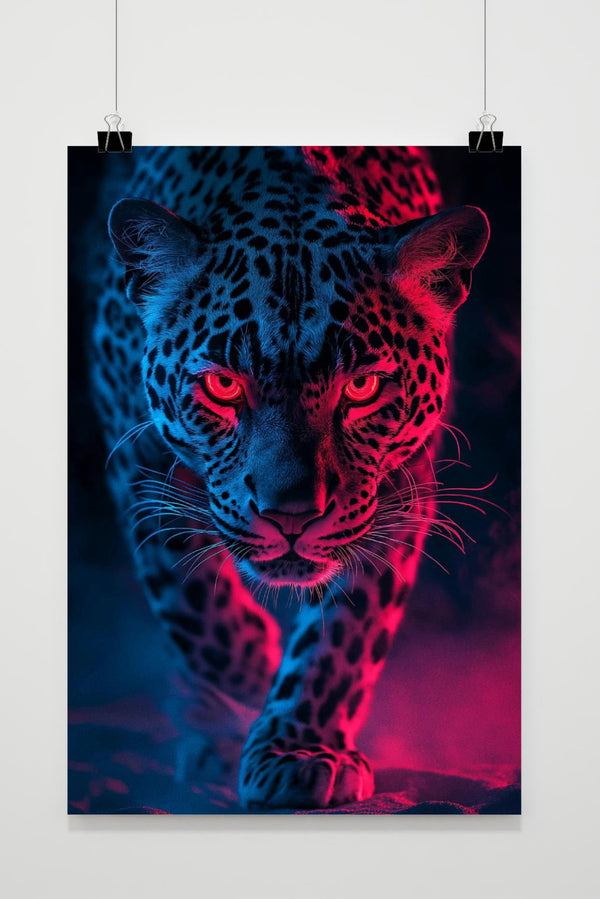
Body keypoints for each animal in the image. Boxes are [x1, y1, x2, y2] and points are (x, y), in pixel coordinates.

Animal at [88, 146, 489, 809]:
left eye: (362, 387)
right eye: (223, 385)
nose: (292, 514)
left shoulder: (398, 490)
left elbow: (346, 631)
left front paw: (299, 750)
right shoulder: (136, 454)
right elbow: (186, 592)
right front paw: (253, 667)